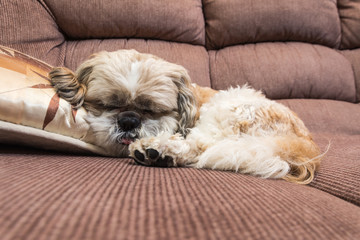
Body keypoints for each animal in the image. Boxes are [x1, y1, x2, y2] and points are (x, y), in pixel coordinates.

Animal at [49, 48, 322, 184]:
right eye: (107, 104)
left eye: (152, 110)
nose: (128, 120)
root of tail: (303, 145)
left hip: (230, 107)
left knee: (201, 146)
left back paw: (158, 150)